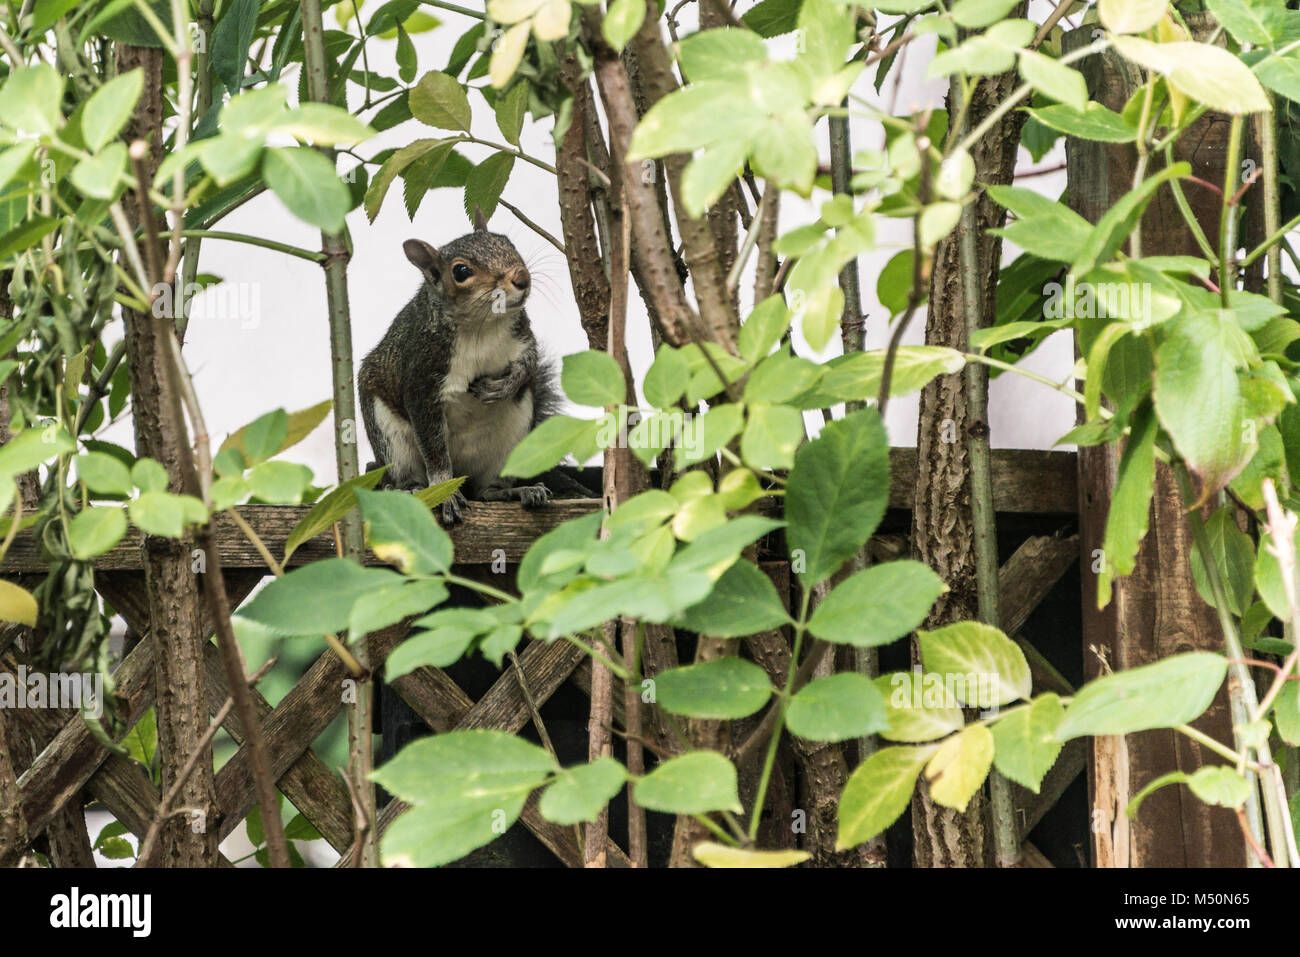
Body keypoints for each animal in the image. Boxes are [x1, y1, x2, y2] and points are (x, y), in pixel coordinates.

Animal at [358, 211, 561, 522]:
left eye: (507, 242)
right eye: (461, 272)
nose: (522, 277)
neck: (483, 325)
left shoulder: (523, 335)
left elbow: (529, 361)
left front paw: (504, 386)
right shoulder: (422, 378)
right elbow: (434, 450)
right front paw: (446, 493)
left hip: (510, 442)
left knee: (486, 491)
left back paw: (519, 491)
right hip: (391, 440)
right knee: (405, 475)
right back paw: (411, 490)